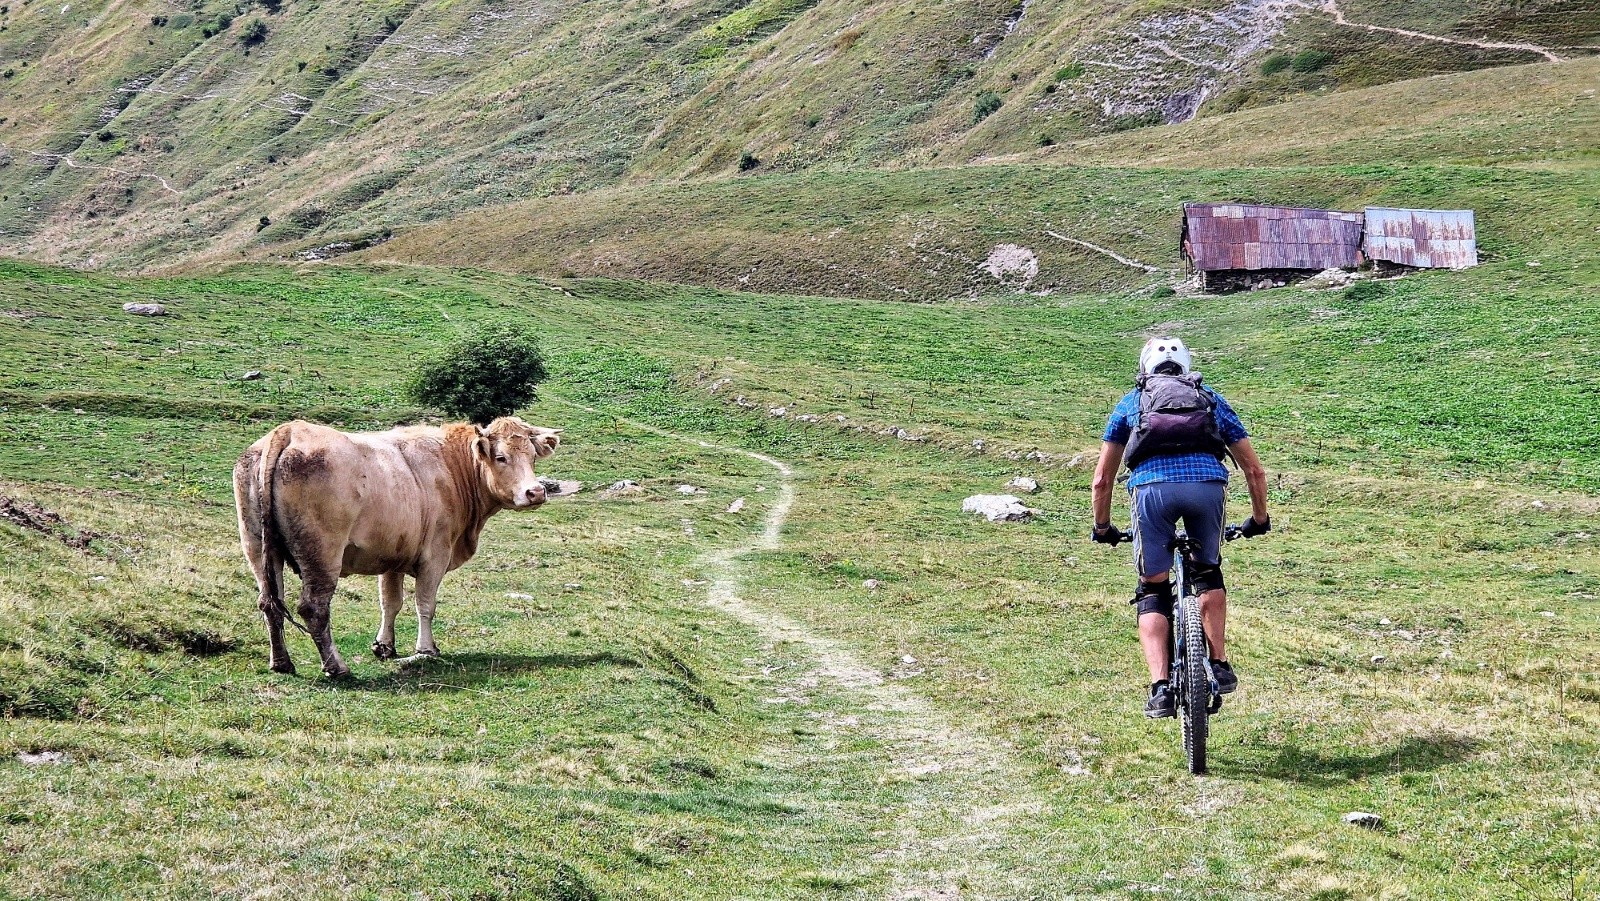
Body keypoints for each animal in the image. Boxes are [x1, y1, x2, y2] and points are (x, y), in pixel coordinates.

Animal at [232, 416, 563, 678]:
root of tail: (288, 431)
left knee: (270, 604)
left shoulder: (391, 555)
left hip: (258, 548)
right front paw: (426, 649)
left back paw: (281, 663)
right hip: (322, 554)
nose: (535, 492)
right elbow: (425, 604)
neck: (451, 465)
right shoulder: (435, 555)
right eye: (501, 457)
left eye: (532, 456)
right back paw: (336, 667)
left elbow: (390, 603)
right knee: (313, 608)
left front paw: (384, 646)